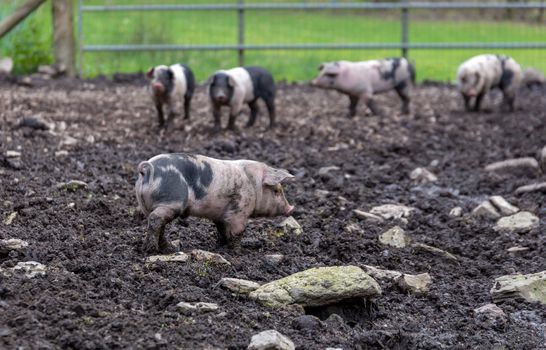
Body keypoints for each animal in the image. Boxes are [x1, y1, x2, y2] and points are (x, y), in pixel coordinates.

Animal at [134, 152, 294, 253]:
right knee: (156, 220)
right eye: (276, 191)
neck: (254, 185)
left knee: (157, 224)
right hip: (171, 202)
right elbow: (238, 232)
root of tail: (148, 169)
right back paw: (151, 250)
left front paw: (221, 246)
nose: (291, 209)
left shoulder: (221, 215)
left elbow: (222, 230)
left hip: (146, 205)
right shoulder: (240, 211)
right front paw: (239, 252)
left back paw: (169, 249)